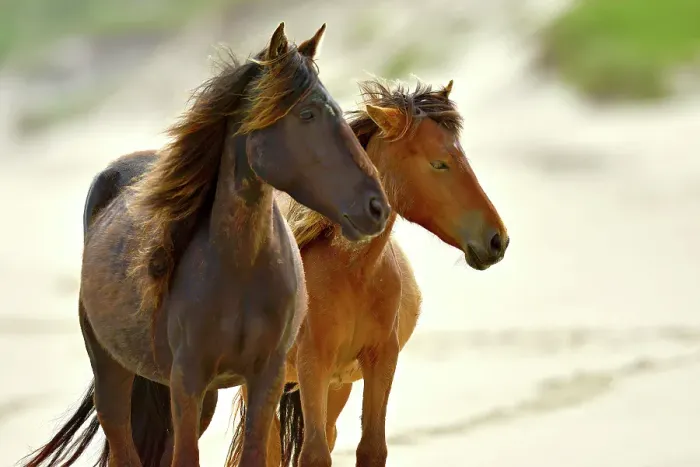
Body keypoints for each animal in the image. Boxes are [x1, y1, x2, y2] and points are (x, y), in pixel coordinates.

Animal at [19, 22, 391, 467]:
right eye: (307, 114)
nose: (375, 207)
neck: (238, 268)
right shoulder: (188, 380)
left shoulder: (264, 378)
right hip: (114, 375)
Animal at [225, 78, 510, 467]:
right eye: (439, 163)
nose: (497, 240)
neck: (350, 272)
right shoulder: (313, 363)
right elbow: (314, 455)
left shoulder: (379, 360)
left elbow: (371, 447)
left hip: (336, 388)